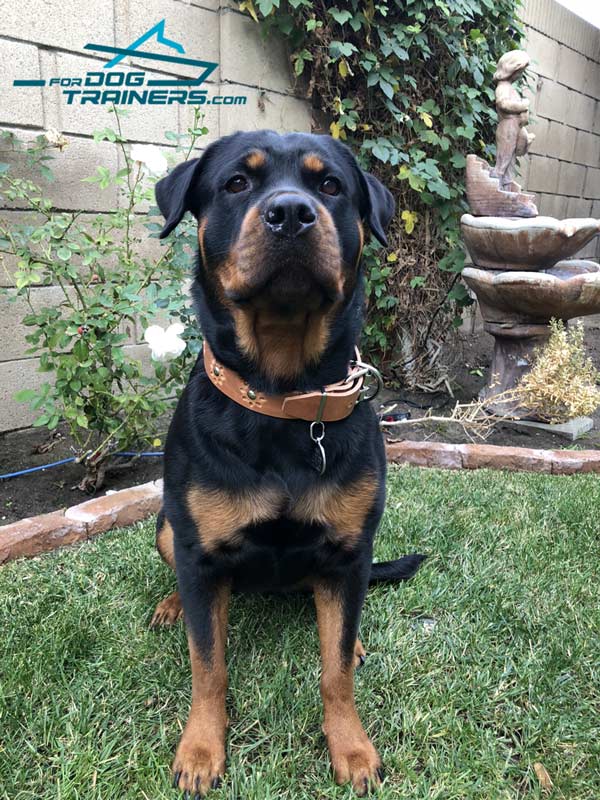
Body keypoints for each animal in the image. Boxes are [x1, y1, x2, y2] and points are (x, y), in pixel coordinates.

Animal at [152, 130, 424, 792]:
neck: (282, 397)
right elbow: (208, 665)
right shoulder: (198, 549)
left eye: (329, 185)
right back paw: (172, 605)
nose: (293, 213)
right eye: (236, 183)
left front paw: (350, 746)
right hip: (167, 526)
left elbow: (335, 671)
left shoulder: (350, 549)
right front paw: (201, 749)